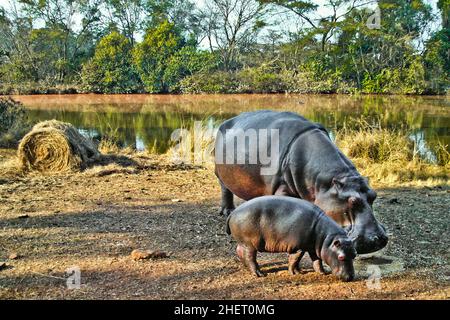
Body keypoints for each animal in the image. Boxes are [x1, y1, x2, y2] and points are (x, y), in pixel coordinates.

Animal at [214, 110, 386, 255]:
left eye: (373, 195)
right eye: (352, 201)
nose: (378, 239)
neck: (326, 183)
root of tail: (227, 121)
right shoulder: (281, 189)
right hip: (221, 175)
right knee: (225, 190)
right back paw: (227, 211)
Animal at [227, 196, 356, 282]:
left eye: (354, 254)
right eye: (341, 257)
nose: (350, 277)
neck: (327, 238)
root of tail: (233, 213)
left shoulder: (314, 248)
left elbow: (317, 260)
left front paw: (322, 272)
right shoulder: (298, 247)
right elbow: (295, 259)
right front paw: (294, 273)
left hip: (243, 243)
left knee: (239, 251)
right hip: (250, 244)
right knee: (250, 257)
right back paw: (259, 274)